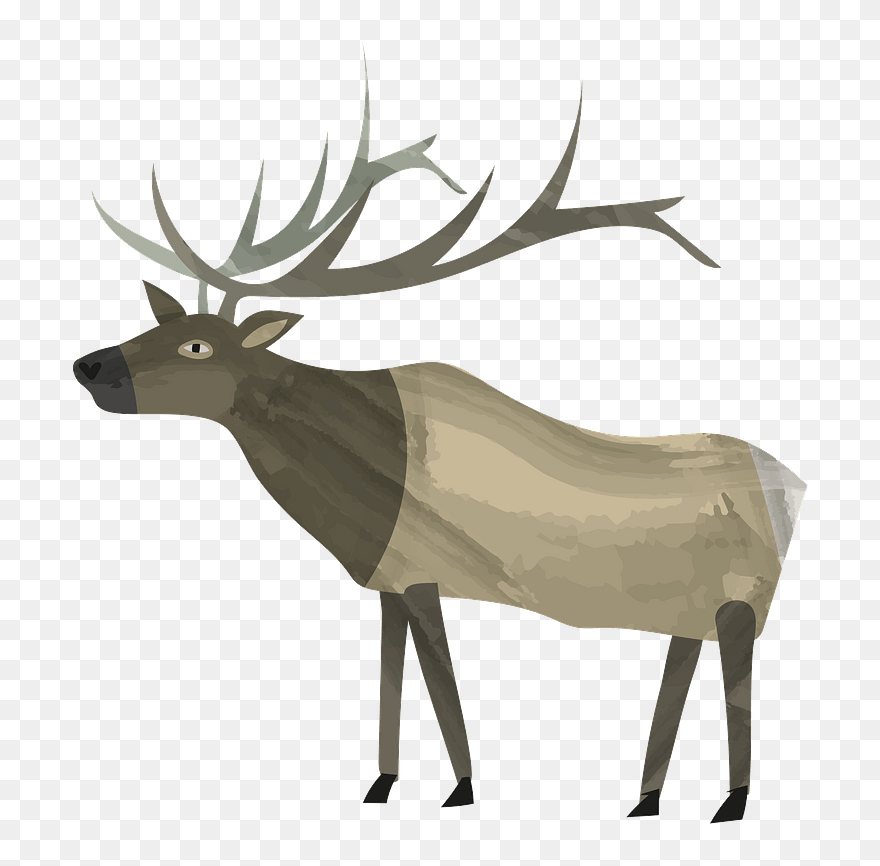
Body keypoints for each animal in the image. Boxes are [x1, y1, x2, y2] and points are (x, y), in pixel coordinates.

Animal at [74, 81, 806, 823]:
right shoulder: (390, 583)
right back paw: (647, 799)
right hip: (687, 608)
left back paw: (733, 801)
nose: (90, 365)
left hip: (741, 601)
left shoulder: (424, 574)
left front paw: (461, 788)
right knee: (683, 667)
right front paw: (382, 783)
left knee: (737, 679)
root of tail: (794, 488)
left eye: (198, 345)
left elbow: (441, 683)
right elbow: (393, 676)